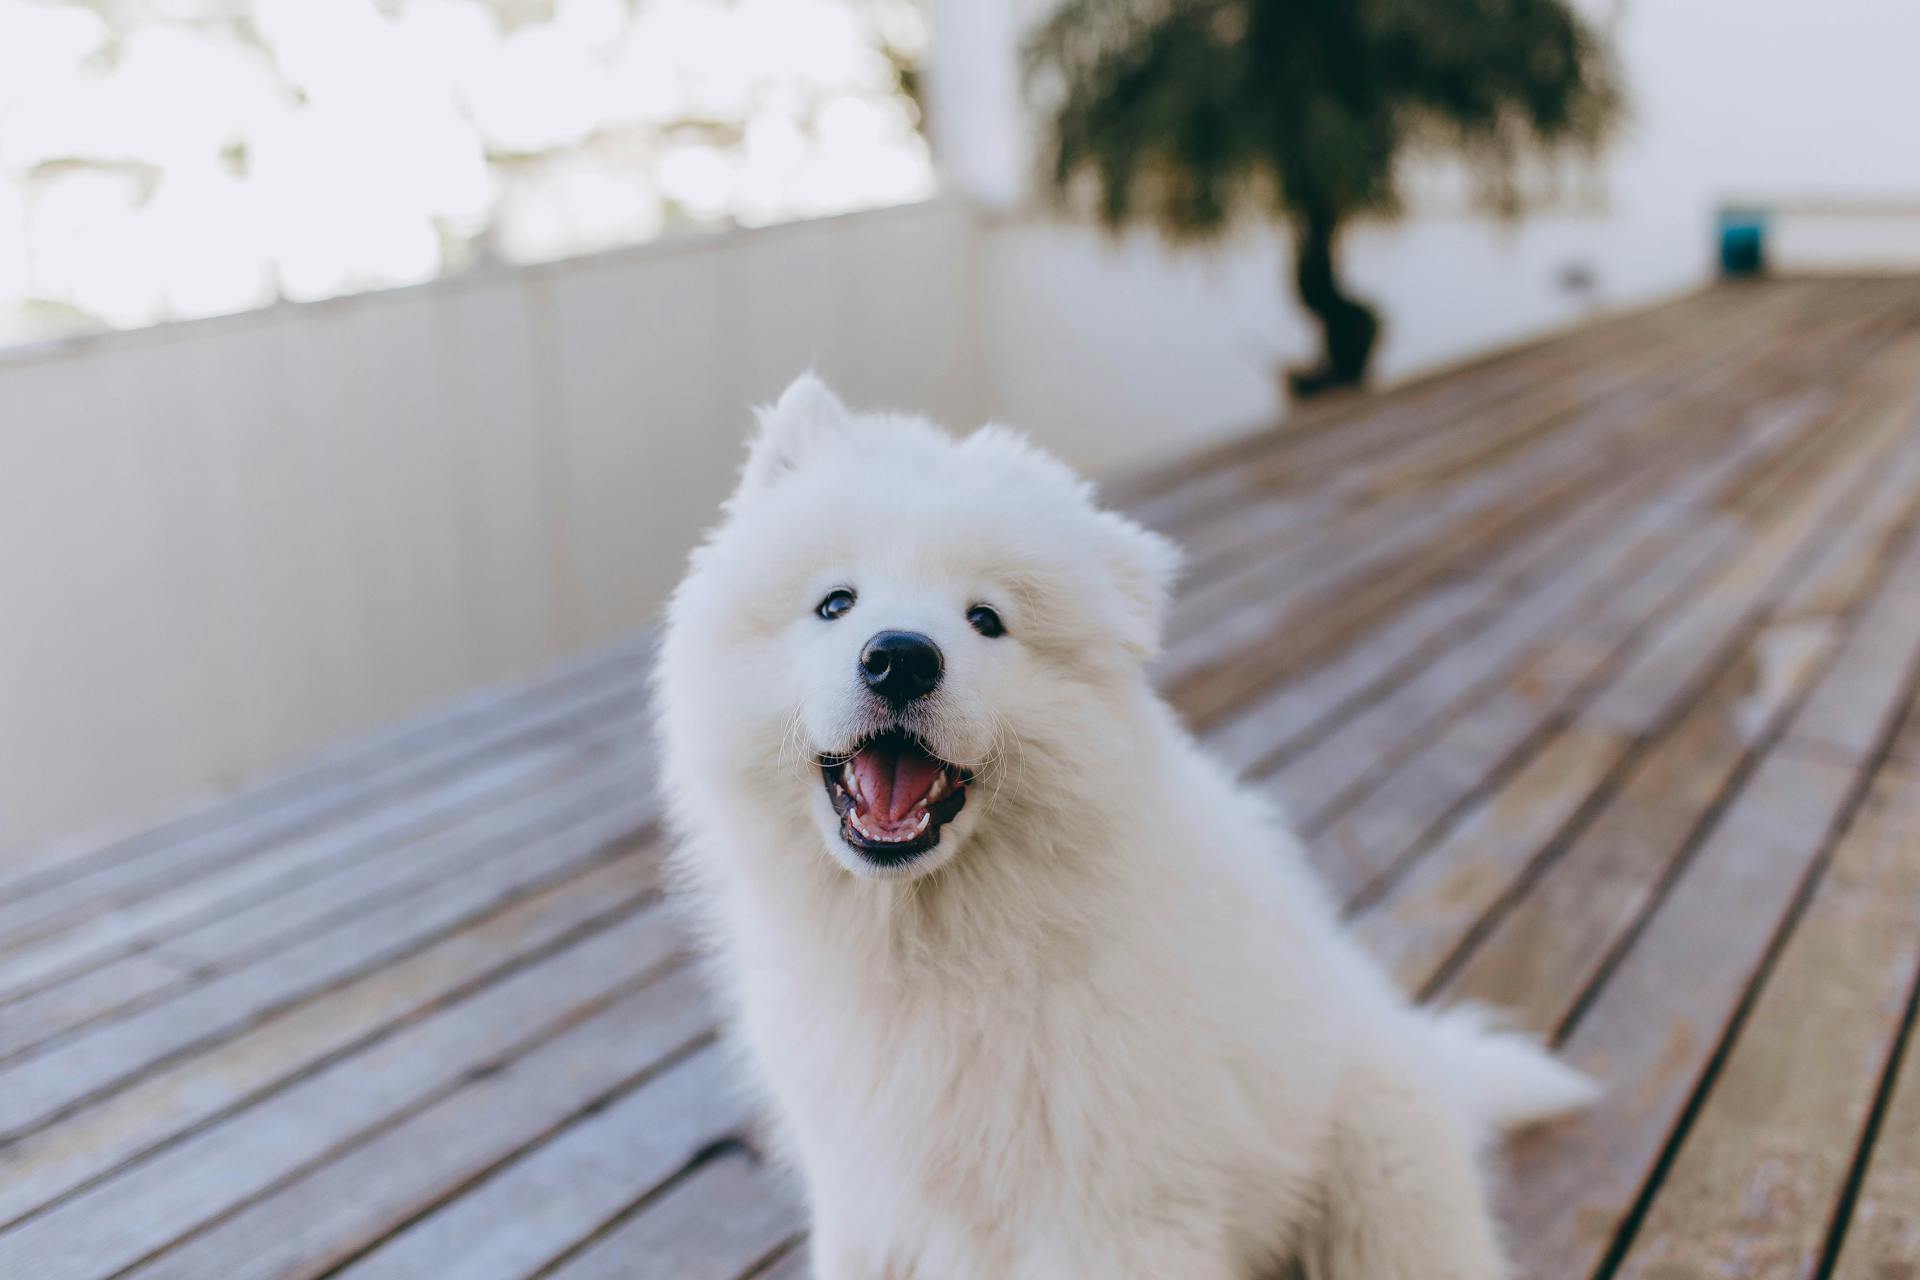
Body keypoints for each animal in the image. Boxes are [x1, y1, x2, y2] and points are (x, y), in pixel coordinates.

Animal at [652, 378, 1597, 1280]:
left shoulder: (1116, 1218)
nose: (900, 657)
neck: (938, 947)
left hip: (1378, 1174)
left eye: (986, 620)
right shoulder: (868, 1207)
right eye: (835, 603)